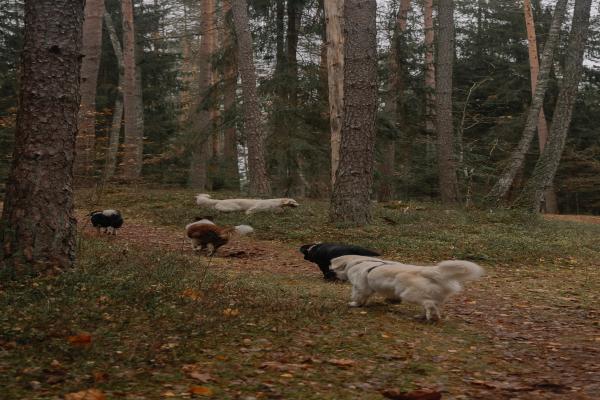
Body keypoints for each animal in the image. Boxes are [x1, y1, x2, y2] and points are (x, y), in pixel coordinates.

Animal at [330, 256, 486, 322]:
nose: (334, 275)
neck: (358, 262)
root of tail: (427, 270)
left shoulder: (360, 286)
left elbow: (358, 295)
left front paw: (354, 304)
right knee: (431, 306)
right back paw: (426, 316)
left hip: (408, 293)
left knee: (428, 303)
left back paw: (429, 314)